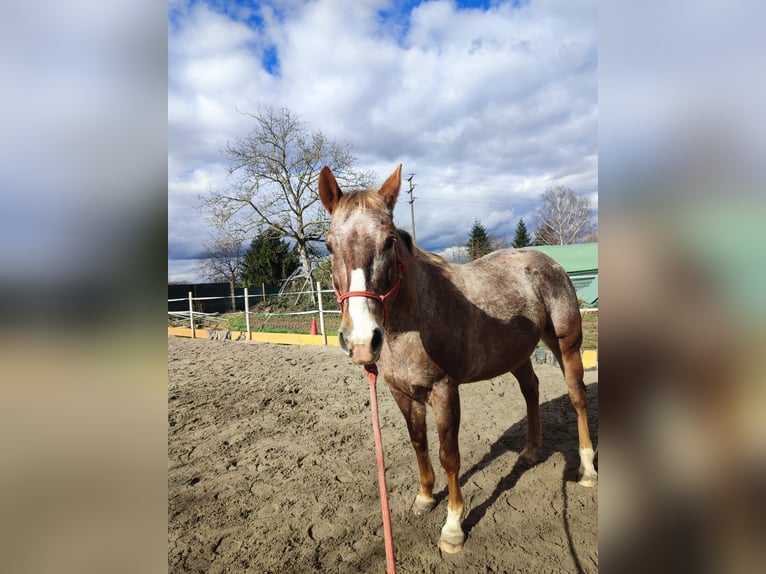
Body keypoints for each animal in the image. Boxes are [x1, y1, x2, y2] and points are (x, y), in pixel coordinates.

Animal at [318, 164, 600, 556]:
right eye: (329, 244)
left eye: (388, 241)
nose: (361, 340)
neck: (412, 320)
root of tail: (549, 263)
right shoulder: (401, 392)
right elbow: (419, 443)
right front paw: (424, 497)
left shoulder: (444, 391)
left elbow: (449, 455)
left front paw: (453, 526)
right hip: (517, 354)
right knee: (531, 391)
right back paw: (530, 451)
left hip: (567, 347)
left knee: (577, 398)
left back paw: (587, 470)